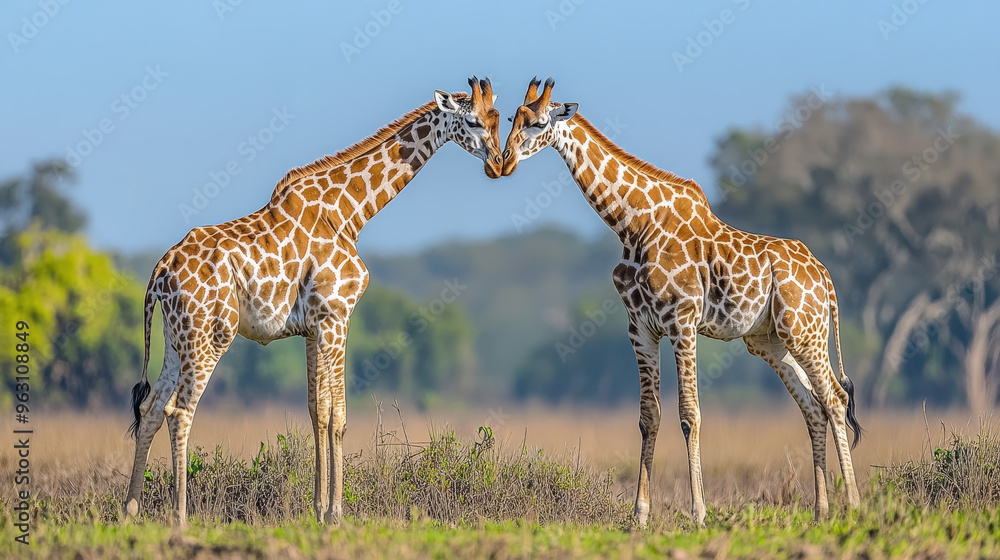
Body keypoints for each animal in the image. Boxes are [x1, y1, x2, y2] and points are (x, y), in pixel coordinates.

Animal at [124, 78, 503, 526]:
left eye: (499, 119)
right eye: (473, 121)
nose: (498, 164)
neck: (350, 213)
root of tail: (160, 273)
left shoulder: (312, 326)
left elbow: (315, 411)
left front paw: (319, 509)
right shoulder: (336, 316)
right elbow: (336, 415)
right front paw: (335, 512)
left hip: (176, 338)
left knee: (150, 409)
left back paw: (129, 508)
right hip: (210, 335)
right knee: (179, 412)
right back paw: (180, 516)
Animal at [501, 78, 862, 526]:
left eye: (537, 123)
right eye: (511, 120)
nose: (504, 161)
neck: (633, 225)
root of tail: (824, 275)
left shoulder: (682, 320)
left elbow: (690, 414)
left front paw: (699, 513)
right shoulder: (640, 328)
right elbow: (649, 416)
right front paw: (640, 515)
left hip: (804, 330)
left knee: (835, 398)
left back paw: (854, 504)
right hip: (770, 341)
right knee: (813, 405)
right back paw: (820, 511)